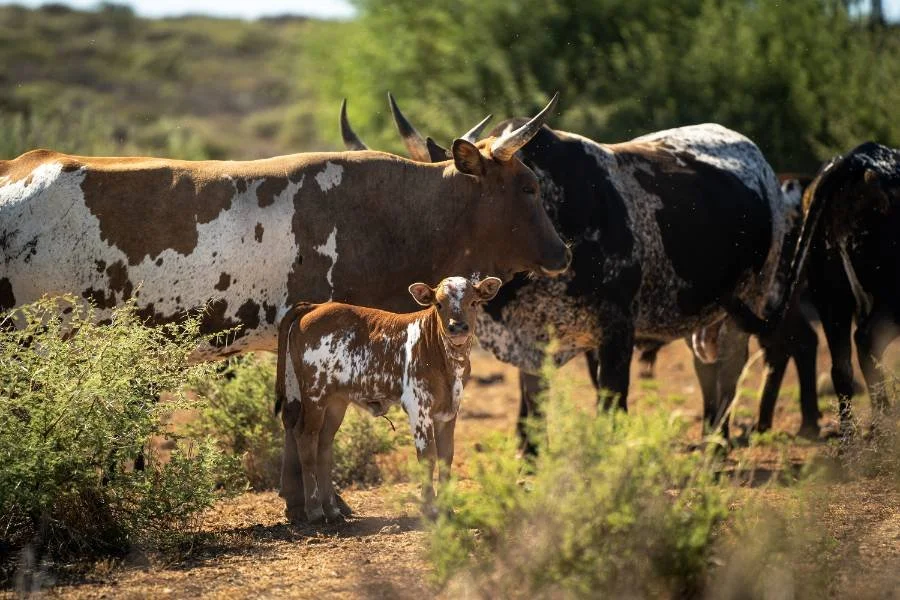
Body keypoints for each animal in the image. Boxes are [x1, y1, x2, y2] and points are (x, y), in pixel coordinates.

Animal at [275, 275, 502, 523]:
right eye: (438, 304)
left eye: (474, 302)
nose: (457, 327)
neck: (445, 359)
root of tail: (315, 307)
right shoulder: (418, 408)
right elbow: (427, 457)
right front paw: (430, 509)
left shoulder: (450, 410)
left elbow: (446, 456)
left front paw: (447, 510)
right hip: (314, 393)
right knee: (306, 437)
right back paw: (315, 510)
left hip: (336, 401)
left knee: (324, 444)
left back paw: (332, 510)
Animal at [345, 98, 817, 447]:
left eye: (532, 189)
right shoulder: (531, 344)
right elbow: (529, 420)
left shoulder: (616, 332)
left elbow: (612, 411)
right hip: (711, 311)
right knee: (712, 369)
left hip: (756, 295)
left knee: (742, 364)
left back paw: (728, 446)